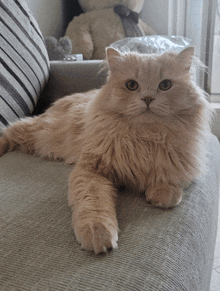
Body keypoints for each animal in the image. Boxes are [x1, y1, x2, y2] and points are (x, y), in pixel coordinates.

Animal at [0, 46, 213, 254]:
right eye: (132, 85)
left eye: (165, 85)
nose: (147, 98)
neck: (145, 137)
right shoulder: (91, 170)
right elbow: (94, 204)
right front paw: (98, 233)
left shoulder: (180, 164)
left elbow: (170, 185)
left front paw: (160, 193)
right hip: (38, 134)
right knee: (10, 130)